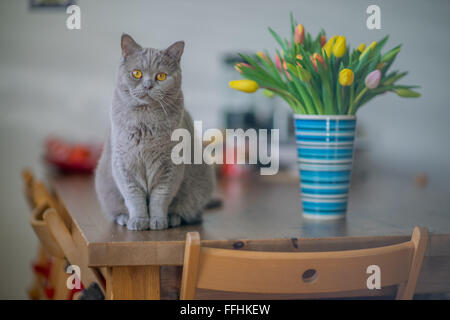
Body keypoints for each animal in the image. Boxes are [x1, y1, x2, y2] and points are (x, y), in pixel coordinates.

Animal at [94, 34, 215, 230]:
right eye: (136, 73)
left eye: (161, 76)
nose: (148, 85)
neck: (145, 123)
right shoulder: (124, 165)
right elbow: (134, 197)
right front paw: (138, 221)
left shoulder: (170, 167)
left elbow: (160, 197)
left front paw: (158, 221)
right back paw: (124, 218)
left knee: (192, 212)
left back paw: (174, 218)